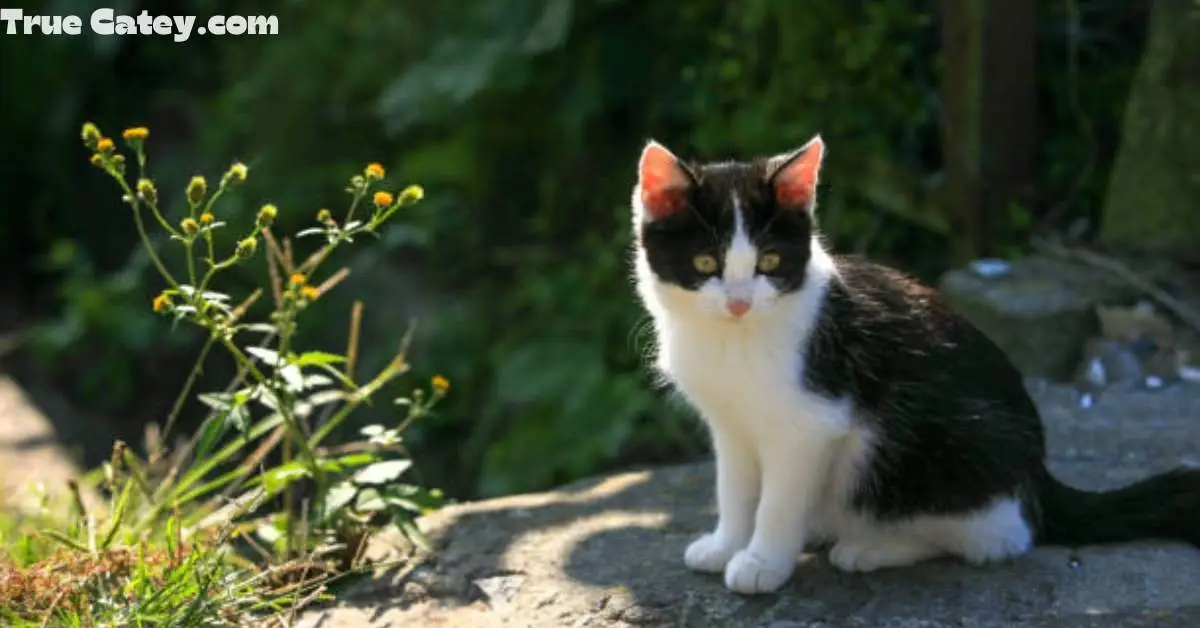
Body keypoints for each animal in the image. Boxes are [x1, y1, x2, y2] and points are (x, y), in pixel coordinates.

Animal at [628, 135, 1200, 597]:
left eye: (769, 262)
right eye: (706, 263)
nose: (740, 302)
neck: (735, 340)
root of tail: (1036, 474)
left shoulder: (813, 423)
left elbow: (778, 500)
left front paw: (763, 562)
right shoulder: (731, 425)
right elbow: (735, 488)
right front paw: (726, 544)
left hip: (922, 442)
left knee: (999, 536)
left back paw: (870, 546)